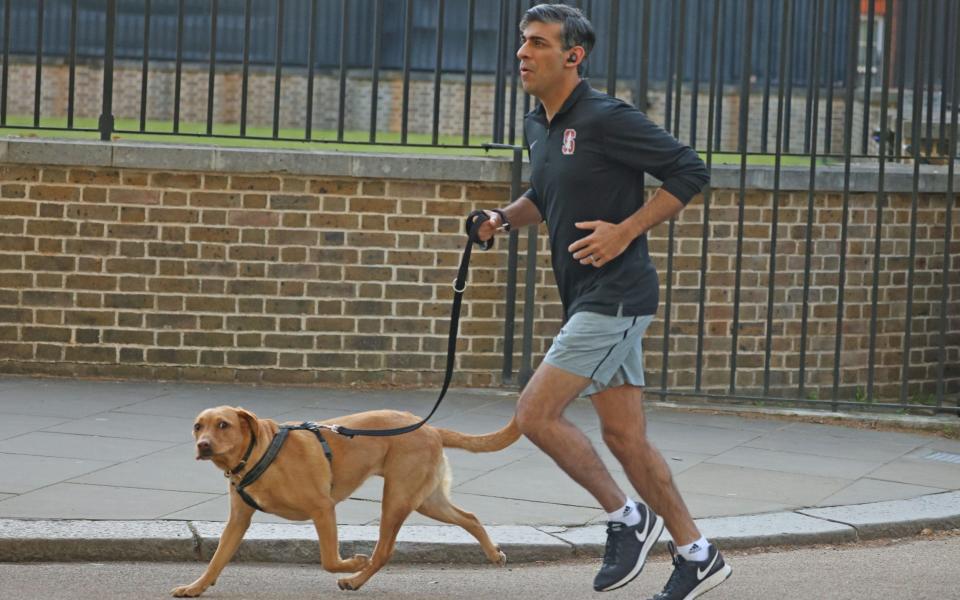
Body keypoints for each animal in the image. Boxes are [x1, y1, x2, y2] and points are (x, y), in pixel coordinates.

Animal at [169, 406, 520, 596]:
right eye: (198, 426)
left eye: (223, 425)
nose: (202, 445)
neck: (259, 452)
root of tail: (431, 428)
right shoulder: (238, 520)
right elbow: (217, 559)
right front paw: (196, 587)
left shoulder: (323, 508)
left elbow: (329, 559)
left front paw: (353, 562)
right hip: (426, 499)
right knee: (470, 517)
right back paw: (493, 553)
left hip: (397, 498)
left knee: (383, 552)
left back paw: (355, 578)